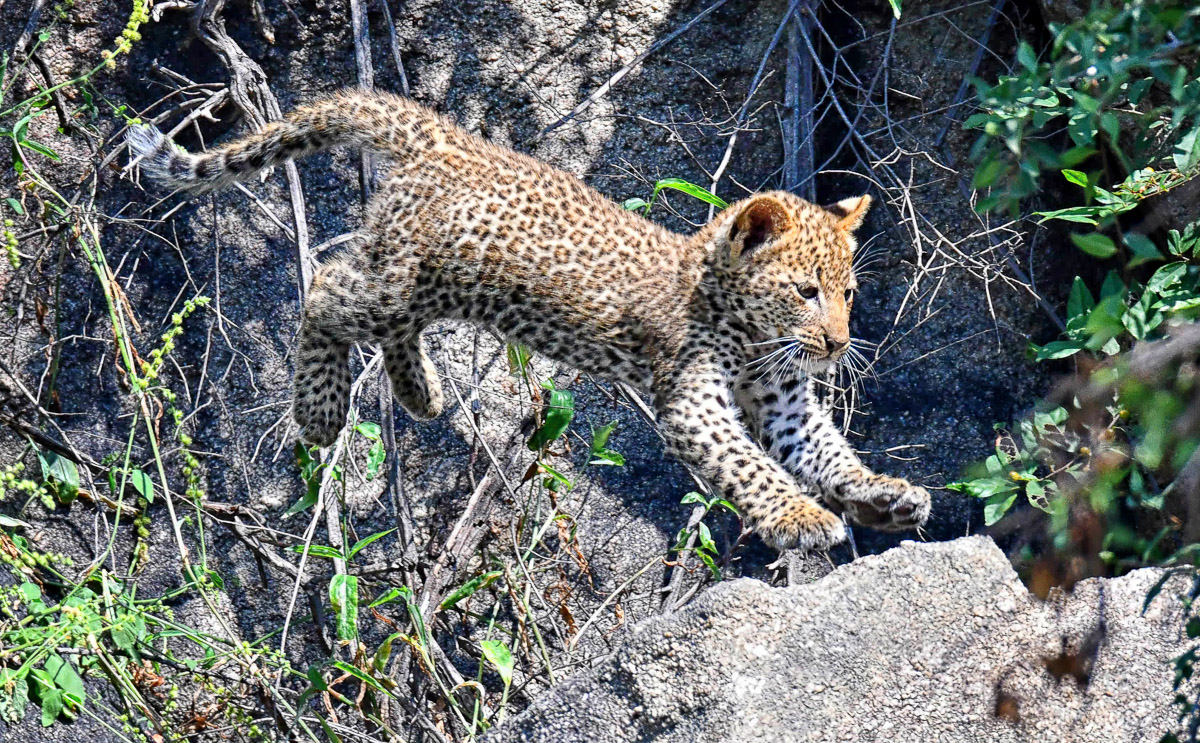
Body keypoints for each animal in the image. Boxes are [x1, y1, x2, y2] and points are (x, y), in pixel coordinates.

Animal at [126, 89, 930, 552]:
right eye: (805, 291)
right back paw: (321, 413)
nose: (838, 344)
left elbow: (825, 452)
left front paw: (883, 496)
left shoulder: (784, 400)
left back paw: (420, 392)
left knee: (378, 315)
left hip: (426, 284)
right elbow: (749, 466)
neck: (749, 330)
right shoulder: (694, 398)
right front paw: (801, 519)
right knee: (326, 286)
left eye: (849, 292)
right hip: (410, 277)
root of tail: (448, 138)